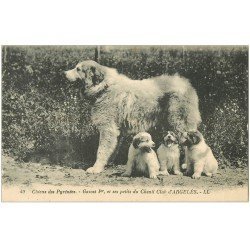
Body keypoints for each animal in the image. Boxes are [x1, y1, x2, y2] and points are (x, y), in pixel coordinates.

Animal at [65, 60, 201, 174]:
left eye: (78, 69)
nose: (64, 73)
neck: (104, 87)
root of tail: (187, 84)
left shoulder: (107, 129)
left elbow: (101, 150)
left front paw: (96, 168)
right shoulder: (116, 131)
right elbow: (112, 149)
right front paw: (107, 164)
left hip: (180, 124)